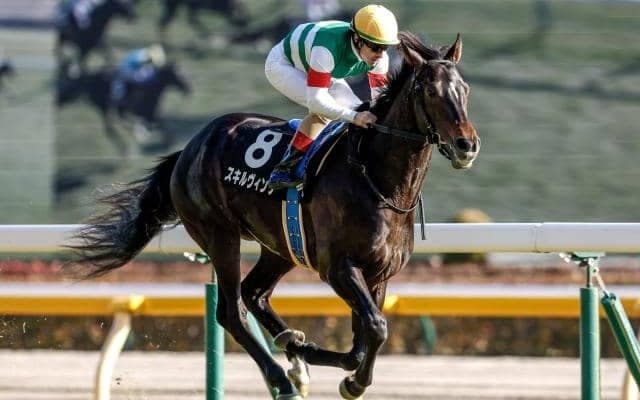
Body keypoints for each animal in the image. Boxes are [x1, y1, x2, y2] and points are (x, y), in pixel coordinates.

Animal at [55, 62, 191, 153]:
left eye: (184, 73)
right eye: (179, 74)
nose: (189, 89)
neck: (150, 86)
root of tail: (89, 77)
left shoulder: (150, 113)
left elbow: (161, 124)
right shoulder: (146, 113)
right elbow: (162, 125)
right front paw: (167, 142)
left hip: (112, 108)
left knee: (116, 124)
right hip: (104, 106)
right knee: (110, 129)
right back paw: (127, 147)